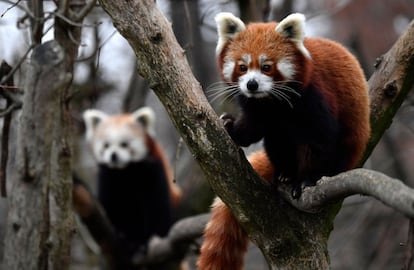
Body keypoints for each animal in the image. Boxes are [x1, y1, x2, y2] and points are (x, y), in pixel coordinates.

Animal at [82, 107, 181, 268]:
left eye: (124, 144)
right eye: (106, 145)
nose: (113, 155)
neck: (125, 172)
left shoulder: (152, 171)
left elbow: (156, 207)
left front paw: (147, 241)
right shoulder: (107, 177)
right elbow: (109, 204)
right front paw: (120, 234)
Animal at [198, 12, 372, 270]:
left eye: (267, 66)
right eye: (242, 67)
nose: (252, 84)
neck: (272, 102)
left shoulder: (315, 96)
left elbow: (320, 140)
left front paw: (309, 179)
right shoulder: (257, 107)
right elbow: (254, 128)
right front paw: (232, 127)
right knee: (277, 141)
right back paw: (285, 174)